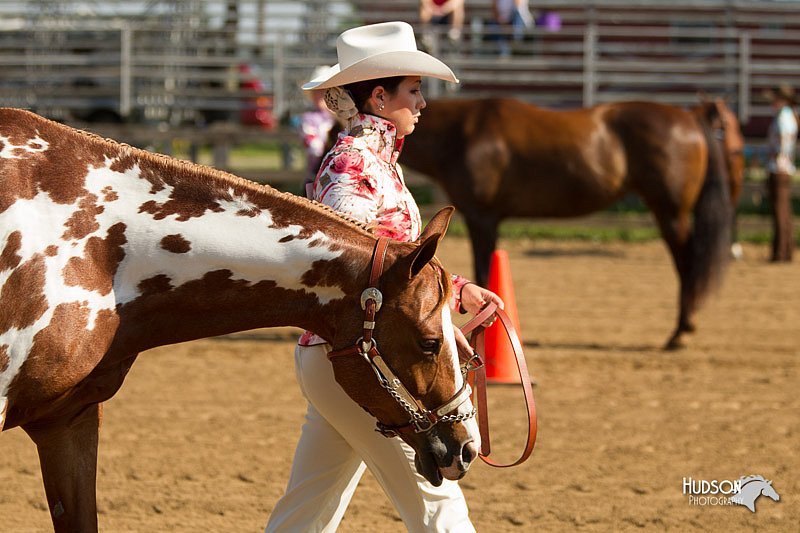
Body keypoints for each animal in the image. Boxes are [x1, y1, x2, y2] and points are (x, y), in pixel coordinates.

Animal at [400, 96, 744, 350]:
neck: (463, 134)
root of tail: (690, 119)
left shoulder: (482, 218)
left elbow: (483, 271)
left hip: (671, 213)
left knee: (687, 266)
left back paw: (680, 332)